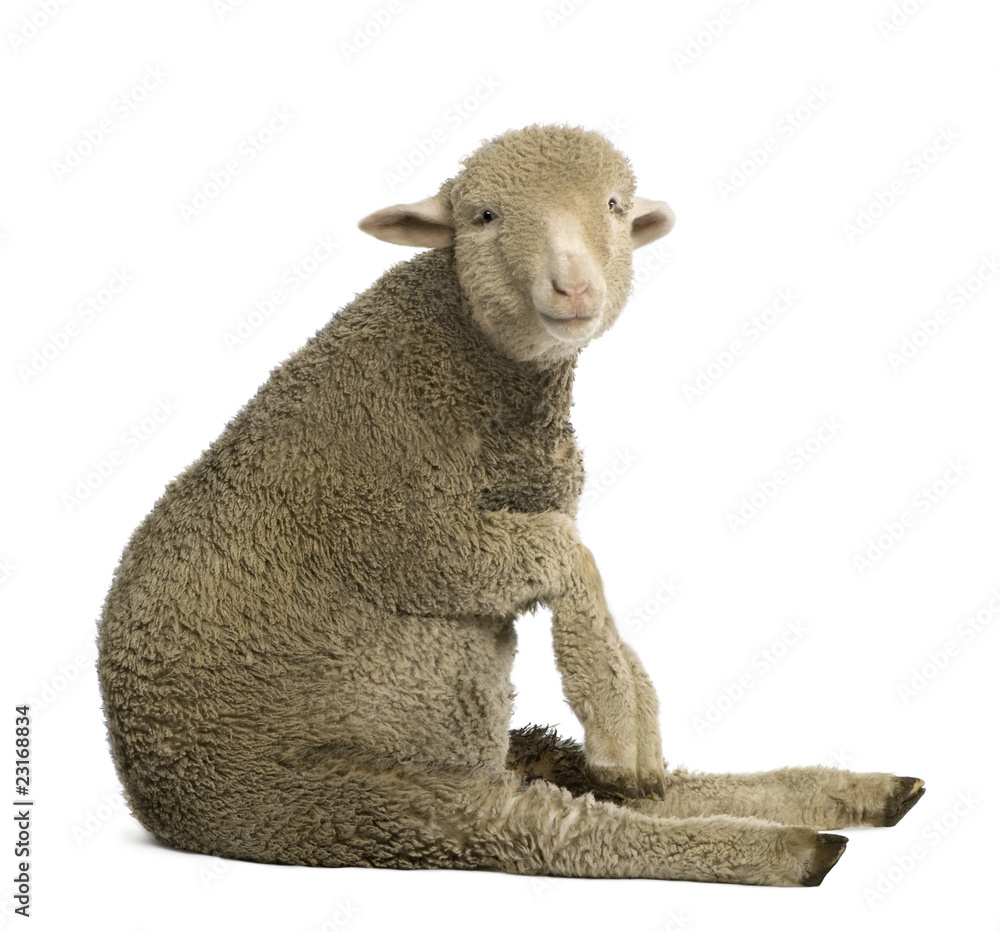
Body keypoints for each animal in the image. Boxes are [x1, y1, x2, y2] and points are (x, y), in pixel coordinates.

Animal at [97, 123, 924, 885]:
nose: (575, 287)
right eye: (484, 216)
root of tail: (152, 795)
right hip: (364, 801)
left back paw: (855, 793)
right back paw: (790, 847)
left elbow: (576, 563)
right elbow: (563, 550)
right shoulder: (399, 529)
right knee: (559, 828)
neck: (468, 360)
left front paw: (635, 714)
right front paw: (618, 707)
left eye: (615, 206)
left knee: (601, 787)